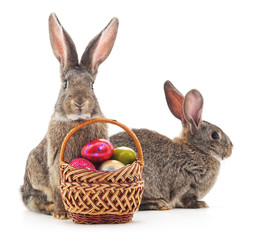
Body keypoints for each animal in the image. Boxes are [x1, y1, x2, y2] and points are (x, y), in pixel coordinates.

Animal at [20, 13, 119, 219]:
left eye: (92, 85)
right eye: (65, 83)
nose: (79, 102)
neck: (77, 121)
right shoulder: (55, 165)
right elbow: (59, 191)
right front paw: (61, 214)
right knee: (39, 202)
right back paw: (52, 210)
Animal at [110, 80, 232, 210]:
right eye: (215, 135)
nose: (231, 149)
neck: (196, 149)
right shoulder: (187, 183)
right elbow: (186, 198)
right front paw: (200, 204)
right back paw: (158, 203)